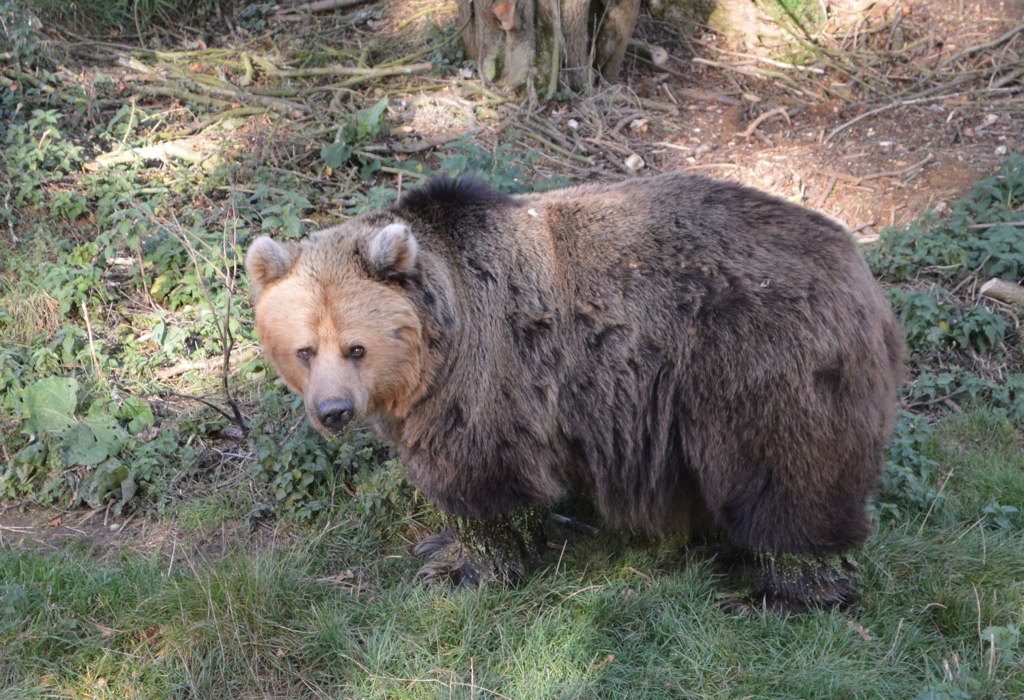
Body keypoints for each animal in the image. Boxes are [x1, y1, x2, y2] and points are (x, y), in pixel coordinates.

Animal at [245, 171, 905, 609]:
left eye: (356, 347)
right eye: (304, 350)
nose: (333, 411)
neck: (435, 347)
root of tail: (860, 269)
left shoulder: (489, 373)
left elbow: (483, 474)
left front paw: (460, 565)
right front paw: (438, 545)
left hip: (757, 360)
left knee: (786, 473)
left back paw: (785, 589)